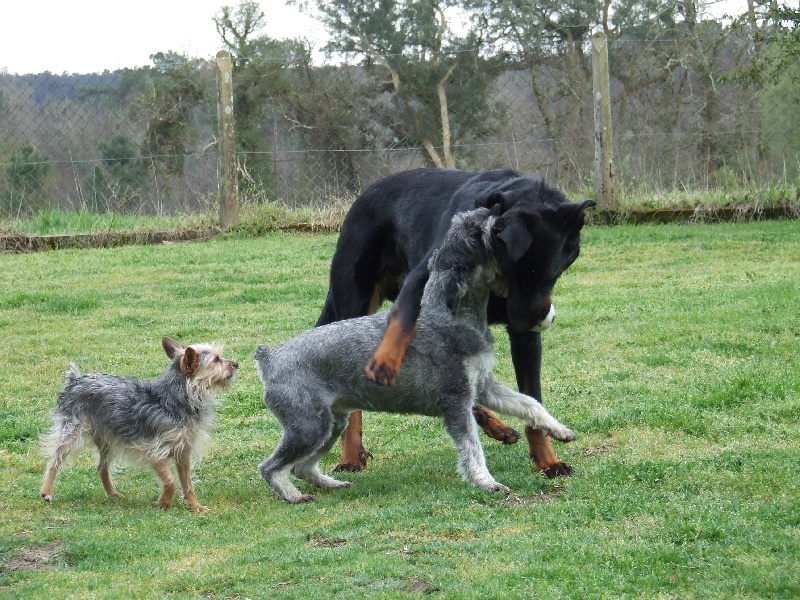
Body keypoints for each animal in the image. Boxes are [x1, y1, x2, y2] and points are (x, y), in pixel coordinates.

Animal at [39, 338, 238, 510]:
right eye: (216, 360)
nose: (236, 363)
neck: (173, 400)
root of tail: (76, 380)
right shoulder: (153, 451)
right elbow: (171, 481)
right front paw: (164, 503)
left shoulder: (183, 453)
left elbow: (187, 483)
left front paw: (195, 507)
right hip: (71, 432)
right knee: (55, 460)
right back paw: (46, 490)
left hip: (107, 439)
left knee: (102, 467)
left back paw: (112, 493)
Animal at [260, 206, 580, 502]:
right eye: (480, 233)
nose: (500, 216)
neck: (451, 313)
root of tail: (269, 359)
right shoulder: (457, 401)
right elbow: (472, 447)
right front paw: (486, 482)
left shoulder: (483, 386)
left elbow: (528, 403)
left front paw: (559, 430)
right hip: (309, 426)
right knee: (270, 467)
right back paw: (293, 495)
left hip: (333, 423)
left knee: (302, 467)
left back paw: (331, 484)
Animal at [318, 168, 592, 474]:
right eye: (511, 271)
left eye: (550, 276)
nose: (526, 322)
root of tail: (363, 196)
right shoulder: (419, 284)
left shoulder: (526, 338)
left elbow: (532, 397)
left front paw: (548, 460)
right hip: (355, 301)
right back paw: (351, 455)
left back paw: (498, 427)